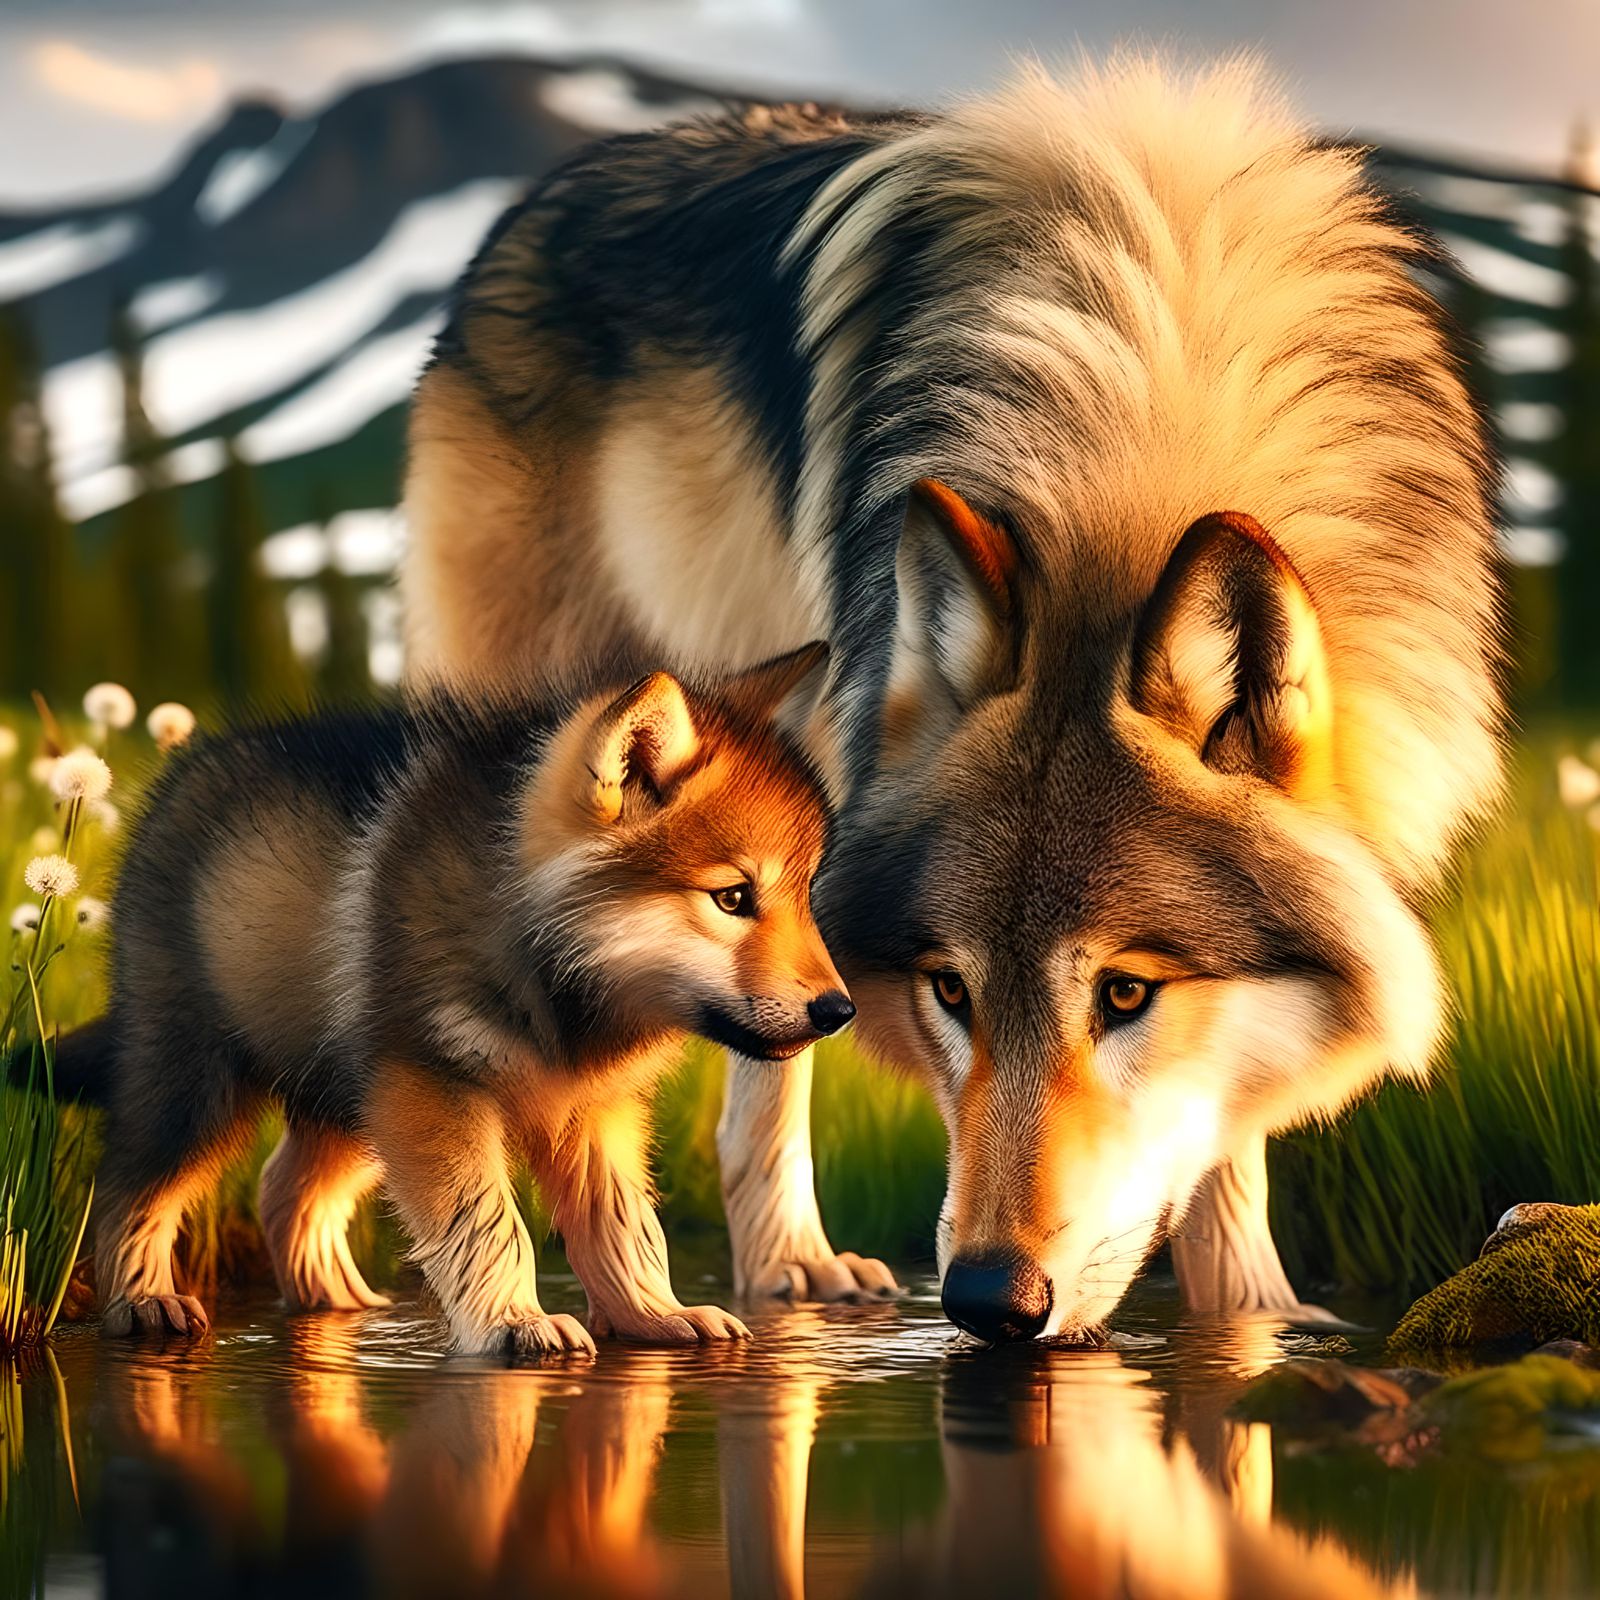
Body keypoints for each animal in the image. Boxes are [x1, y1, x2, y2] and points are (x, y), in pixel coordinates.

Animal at [63, 648, 860, 1354]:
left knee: (283, 1188)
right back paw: (142, 1301)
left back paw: (337, 1299)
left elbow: (627, 1226)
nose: (839, 1012)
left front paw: (655, 1315)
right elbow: (489, 1223)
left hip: (352, 1103)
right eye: (733, 898)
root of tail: (186, 771)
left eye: (806, 894)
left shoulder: (592, 1113)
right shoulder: (435, 1091)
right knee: (129, 1189)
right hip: (202, 1089)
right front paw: (513, 1324)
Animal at [401, 60, 1503, 1339]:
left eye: (1127, 993)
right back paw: (784, 1265)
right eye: (949, 989)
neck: (1166, 367)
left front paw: (1253, 1317)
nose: (983, 1299)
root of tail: (533, 204)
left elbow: (1223, 1128)